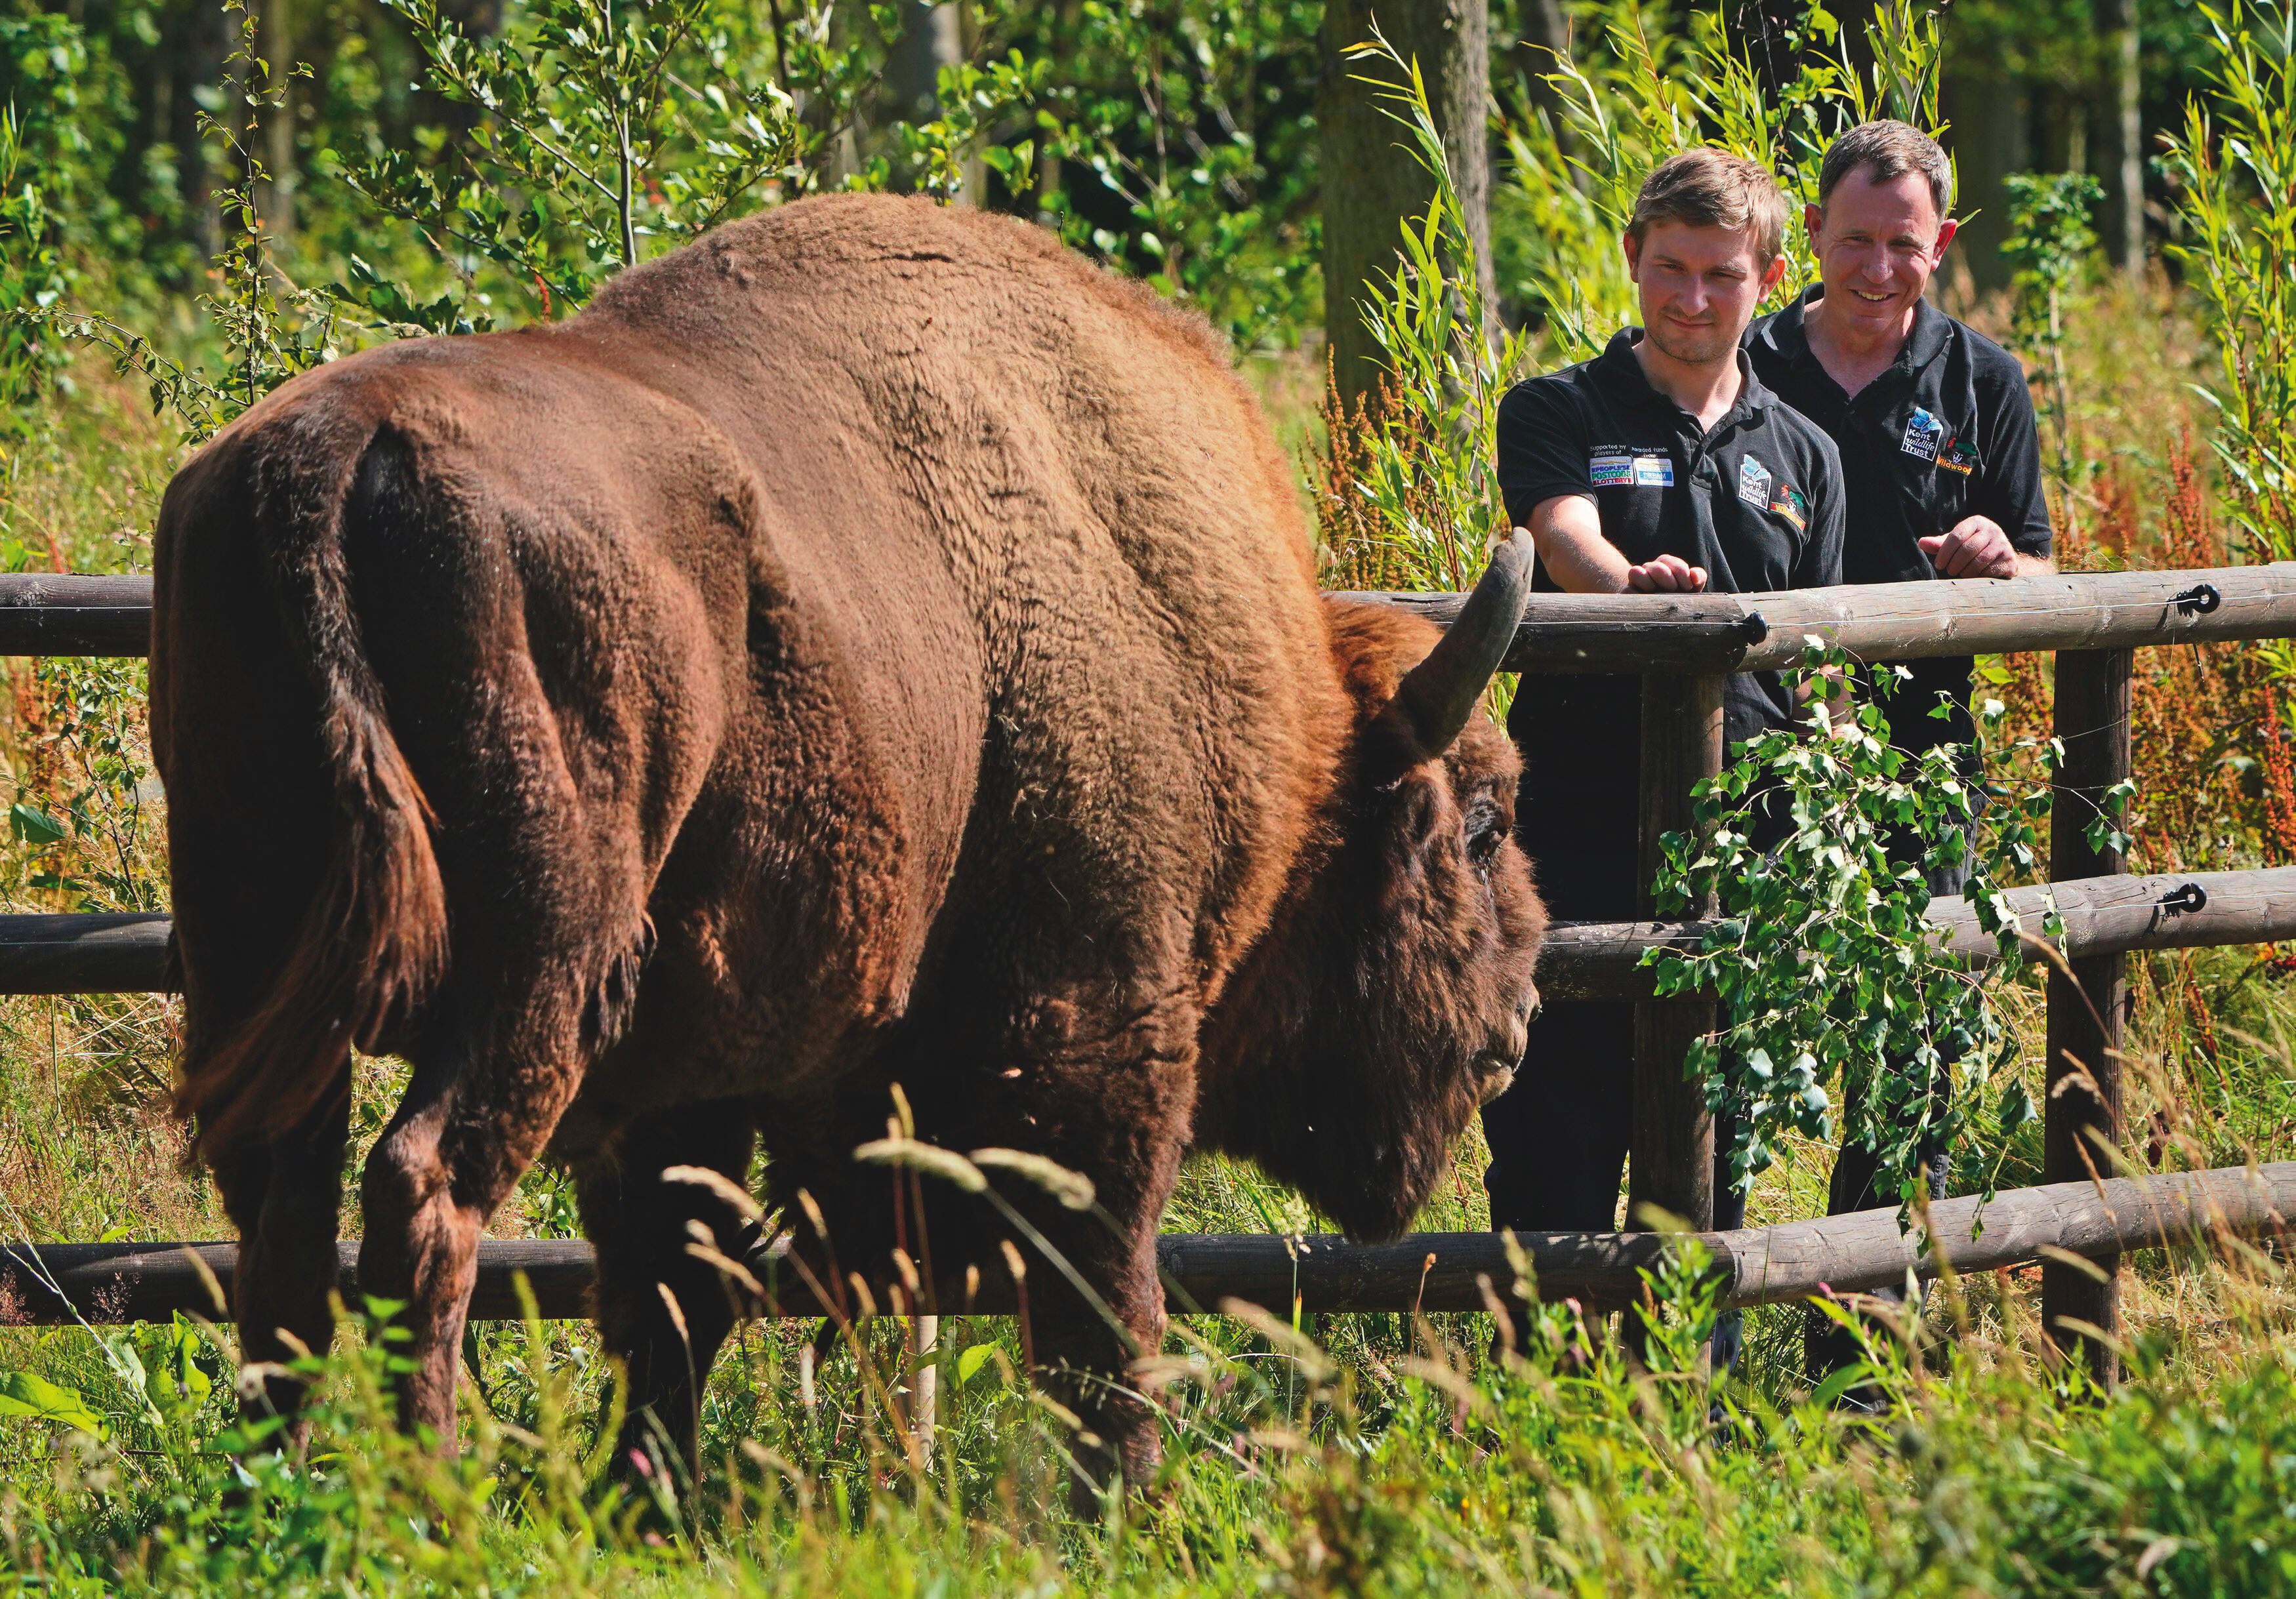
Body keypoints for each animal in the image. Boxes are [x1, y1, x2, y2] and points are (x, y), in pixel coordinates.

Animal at [150, 192, 1545, 1495]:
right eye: (1481, 825)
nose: (1518, 1024)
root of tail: (336, 453)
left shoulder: (694, 1080)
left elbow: (675, 1290)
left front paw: (649, 1499)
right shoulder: (1102, 1027)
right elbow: (1105, 1300)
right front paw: (1131, 1501)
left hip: (248, 941)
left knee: (282, 1214)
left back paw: (277, 1491)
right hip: (544, 954)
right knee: (425, 1189)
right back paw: (433, 1498)